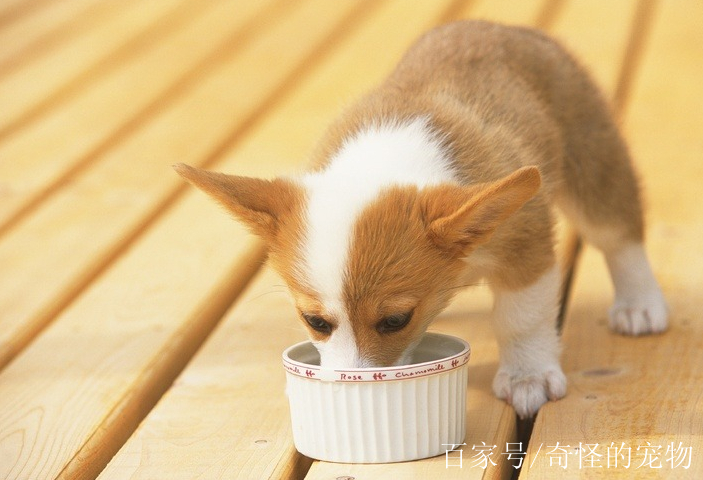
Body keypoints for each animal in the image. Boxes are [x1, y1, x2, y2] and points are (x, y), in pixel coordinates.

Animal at [173, 20, 668, 418]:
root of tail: (499, 27)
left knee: (618, 234)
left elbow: (521, 317)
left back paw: (639, 304)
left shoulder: (525, 245)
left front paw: (527, 376)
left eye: (395, 320)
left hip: (593, 161)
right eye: (315, 322)